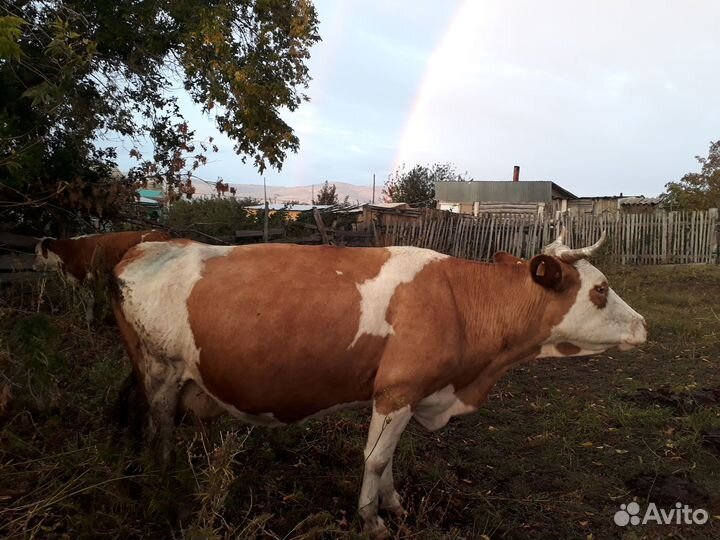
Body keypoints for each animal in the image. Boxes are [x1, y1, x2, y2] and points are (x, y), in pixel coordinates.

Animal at [34, 230, 172, 321]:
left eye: (37, 252)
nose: (33, 266)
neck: (69, 250)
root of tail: (161, 233)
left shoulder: (84, 277)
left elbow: (89, 299)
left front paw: (89, 320)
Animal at [111, 231, 646, 538]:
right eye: (600, 289)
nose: (643, 325)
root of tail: (146, 246)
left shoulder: (409, 394)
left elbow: (388, 458)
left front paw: (394, 503)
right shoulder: (396, 390)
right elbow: (375, 458)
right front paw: (371, 519)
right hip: (160, 373)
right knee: (160, 435)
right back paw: (164, 491)